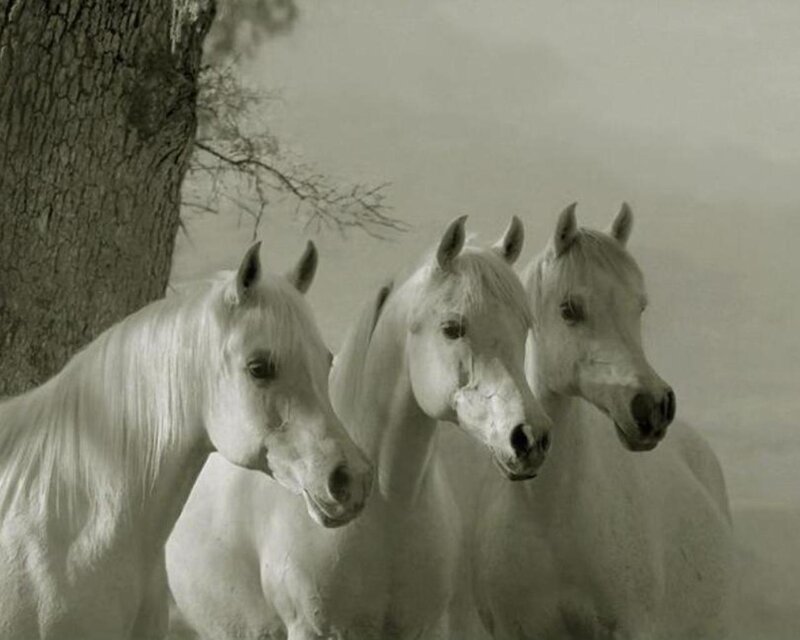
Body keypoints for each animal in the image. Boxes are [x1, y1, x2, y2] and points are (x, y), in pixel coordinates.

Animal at [165, 216, 553, 640]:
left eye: (523, 325)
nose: (528, 438)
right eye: (453, 328)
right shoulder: (314, 630)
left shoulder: (425, 627)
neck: (389, 509)